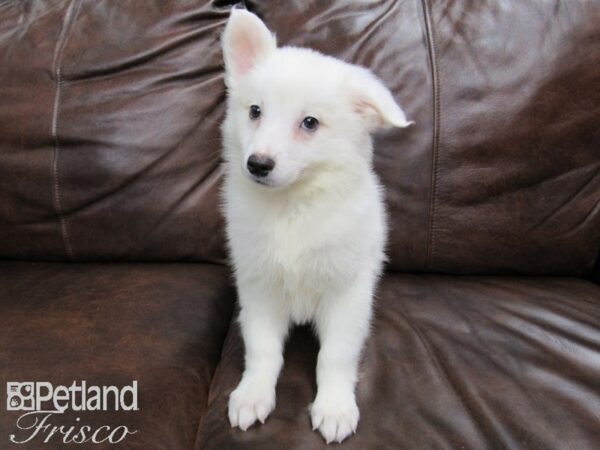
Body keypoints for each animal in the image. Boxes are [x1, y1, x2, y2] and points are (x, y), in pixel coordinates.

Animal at [220, 8, 412, 444]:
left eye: (310, 123)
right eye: (255, 111)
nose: (257, 164)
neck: (292, 207)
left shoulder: (347, 293)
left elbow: (335, 355)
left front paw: (335, 407)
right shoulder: (259, 287)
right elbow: (262, 349)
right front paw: (252, 394)